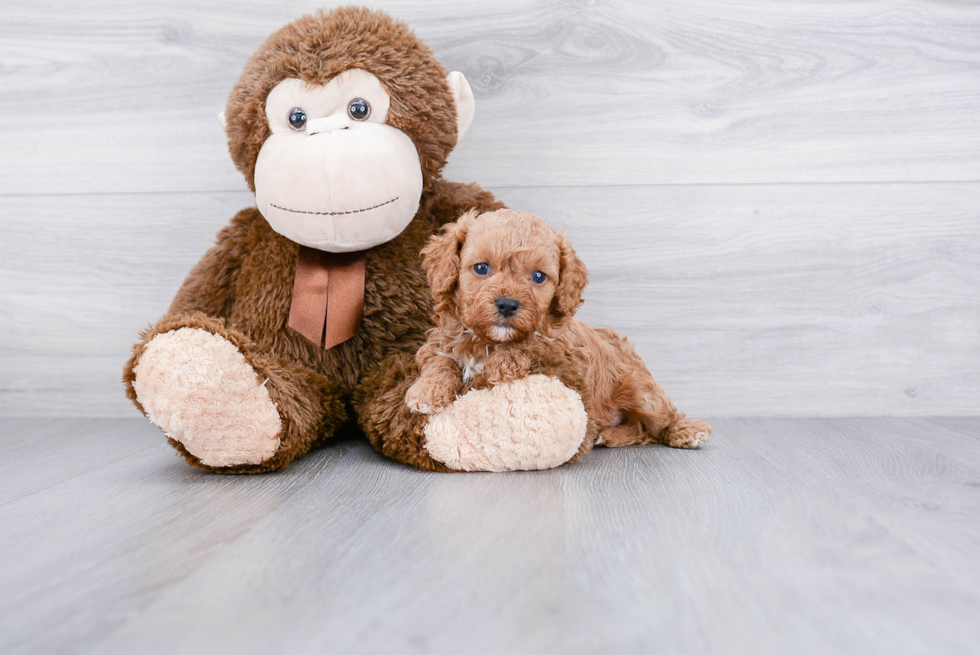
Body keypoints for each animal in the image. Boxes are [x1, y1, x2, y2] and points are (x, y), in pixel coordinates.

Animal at [406, 209, 712, 452]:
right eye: (481, 268)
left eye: (538, 276)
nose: (507, 304)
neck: (488, 340)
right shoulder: (440, 340)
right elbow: (440, 361)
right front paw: (426, 392)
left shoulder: (567, 354)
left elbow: (536, 343)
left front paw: (503, 362)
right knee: (640, 430)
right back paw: (607, 435)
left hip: (641, 391)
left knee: (659, 422)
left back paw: (688, 431)